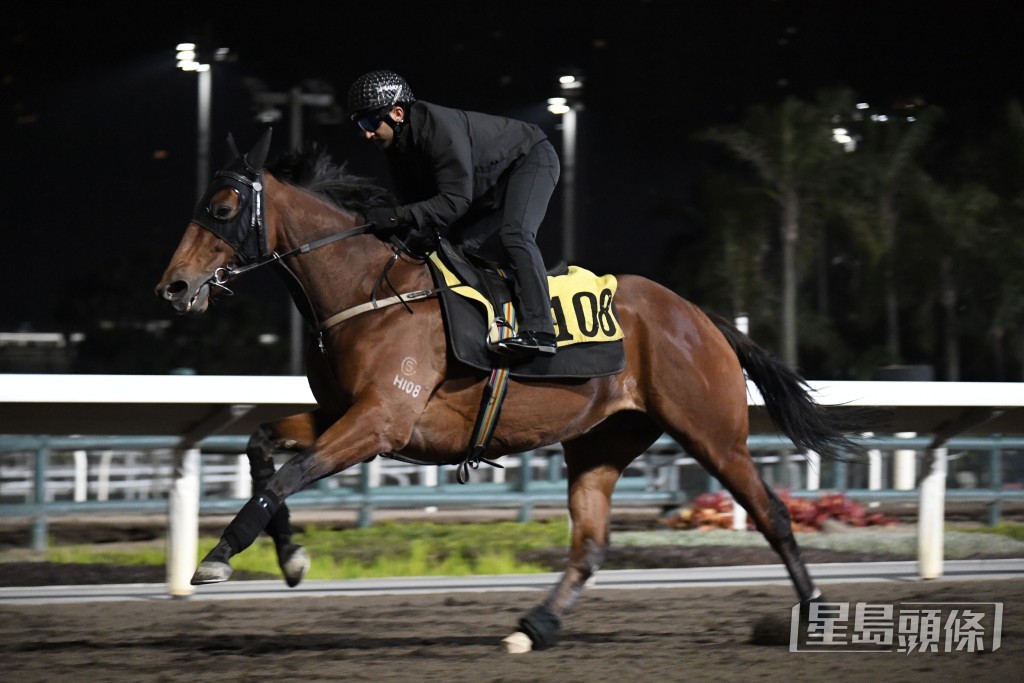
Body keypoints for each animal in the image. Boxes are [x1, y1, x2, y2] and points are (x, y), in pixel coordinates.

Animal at [155, 127, 876, 651]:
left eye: (221, 208)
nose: (173, 287)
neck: (367, 292)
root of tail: (699, 315)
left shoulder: (381, 421)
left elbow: (284, 476)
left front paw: (218, 557)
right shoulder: (341, 413)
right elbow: (260, 448)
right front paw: (291, 555)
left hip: (712, 431)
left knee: (771, 512)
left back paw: (815, 614)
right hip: (601, 442)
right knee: (590, 544)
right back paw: (536, 627)